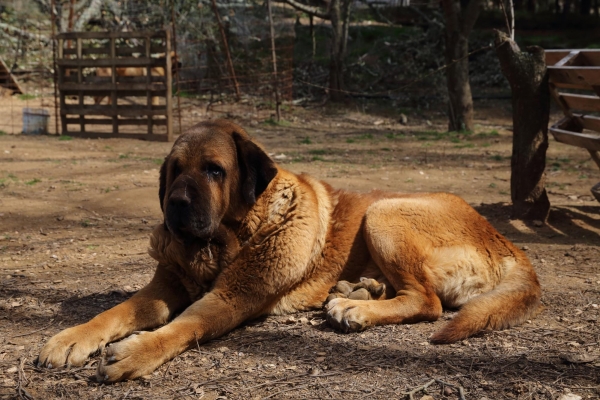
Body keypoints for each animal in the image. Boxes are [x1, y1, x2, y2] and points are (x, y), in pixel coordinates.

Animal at [37, 119, 544, 382]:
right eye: (175, 170)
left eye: (214, 171)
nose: (176, 204)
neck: (226, 241)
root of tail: (505, 240)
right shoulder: (164, 287)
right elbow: (114, 312)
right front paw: (70, 339)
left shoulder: (230, 298)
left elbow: (183, 326)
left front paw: (137, 353)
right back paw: (357, 291)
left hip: (384, 211)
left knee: (428, 301)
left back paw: (356, 309)